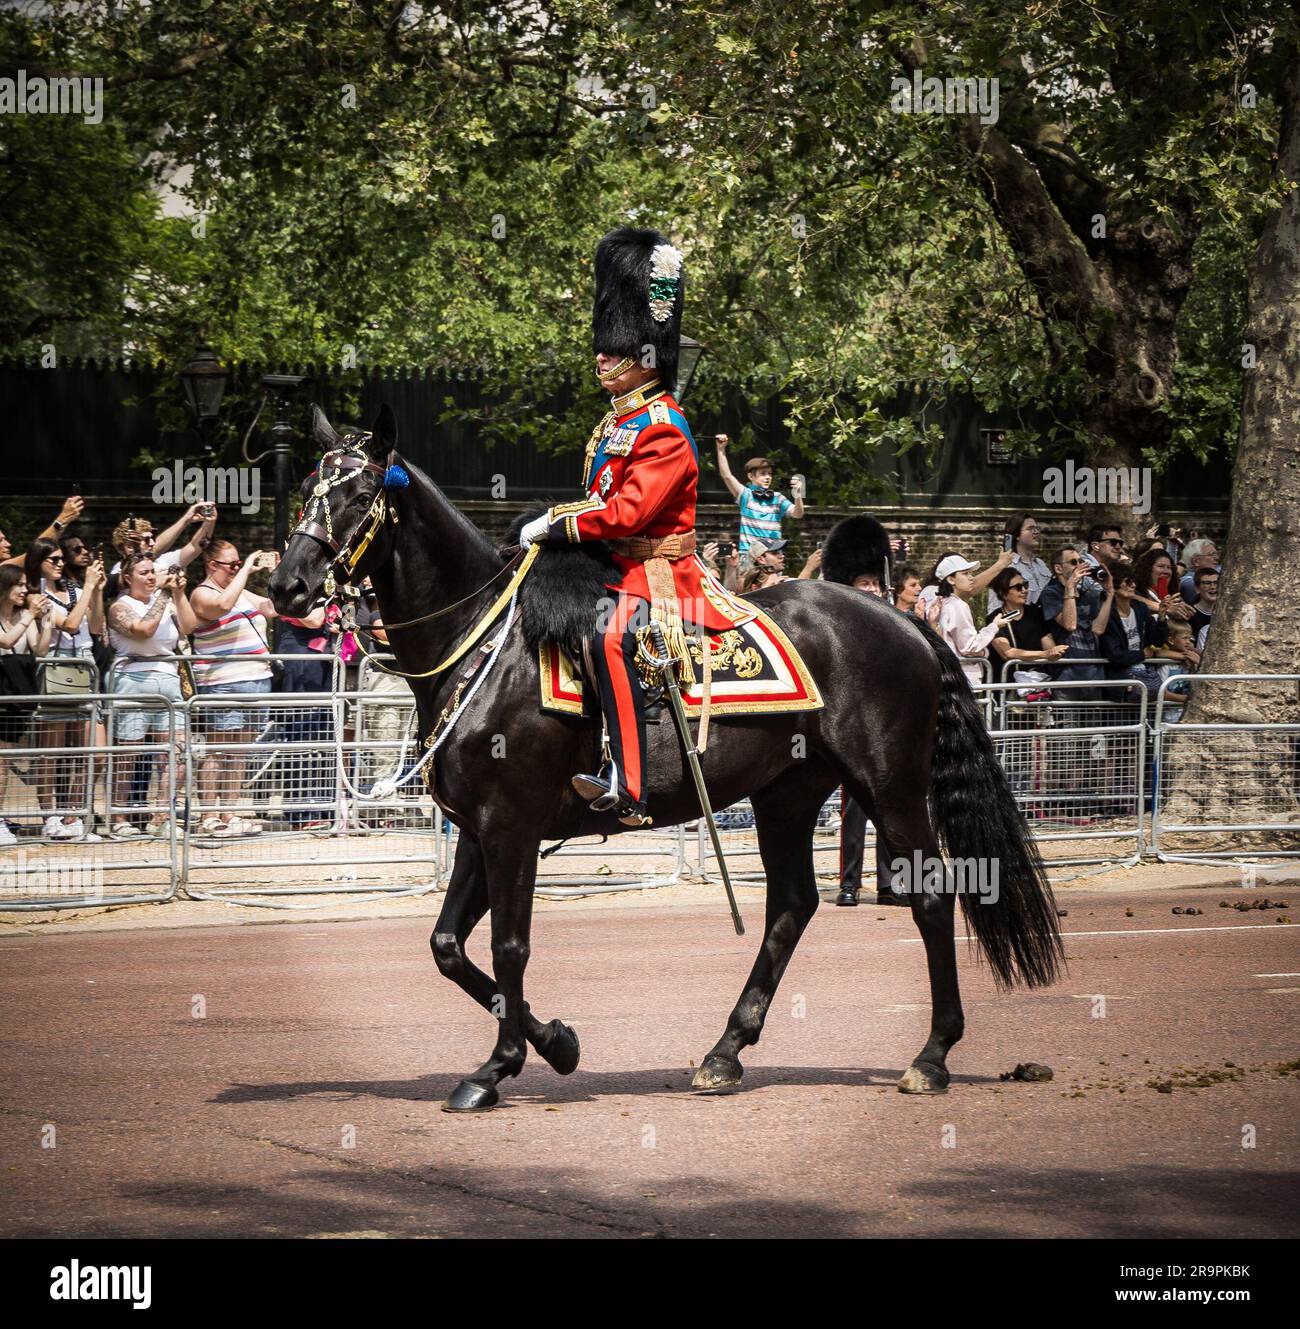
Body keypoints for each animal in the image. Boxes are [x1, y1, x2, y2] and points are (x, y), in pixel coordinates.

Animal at [269, 405, 1063, 1113]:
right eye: (309, 485)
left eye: (358, 496)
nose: (287, 586)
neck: (479, 641)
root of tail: (902, 618)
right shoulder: (477, 826)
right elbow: (447, 946)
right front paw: (556, 1042)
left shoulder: (510, 823)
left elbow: (508, 945)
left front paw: (500, 1066)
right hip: (790, 793)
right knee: (791, 906)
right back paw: (725, 1052)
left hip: (888, 785)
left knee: (930, 894)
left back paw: (931, 1055)